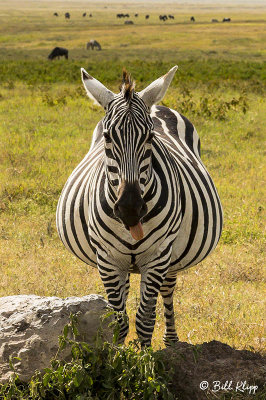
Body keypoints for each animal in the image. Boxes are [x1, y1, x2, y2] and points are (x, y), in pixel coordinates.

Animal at [56, 66, 222, 346]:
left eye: (150, 137)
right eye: (107, 137)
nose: (130, 209)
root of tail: (157, 105)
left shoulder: (158, 256)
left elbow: (145, 319)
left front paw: (146, 357)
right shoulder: (107, 258)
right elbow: (117, 320)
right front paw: (116, 355)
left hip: (171, 255)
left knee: (167, 290)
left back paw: (171, 342)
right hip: (121, 261)